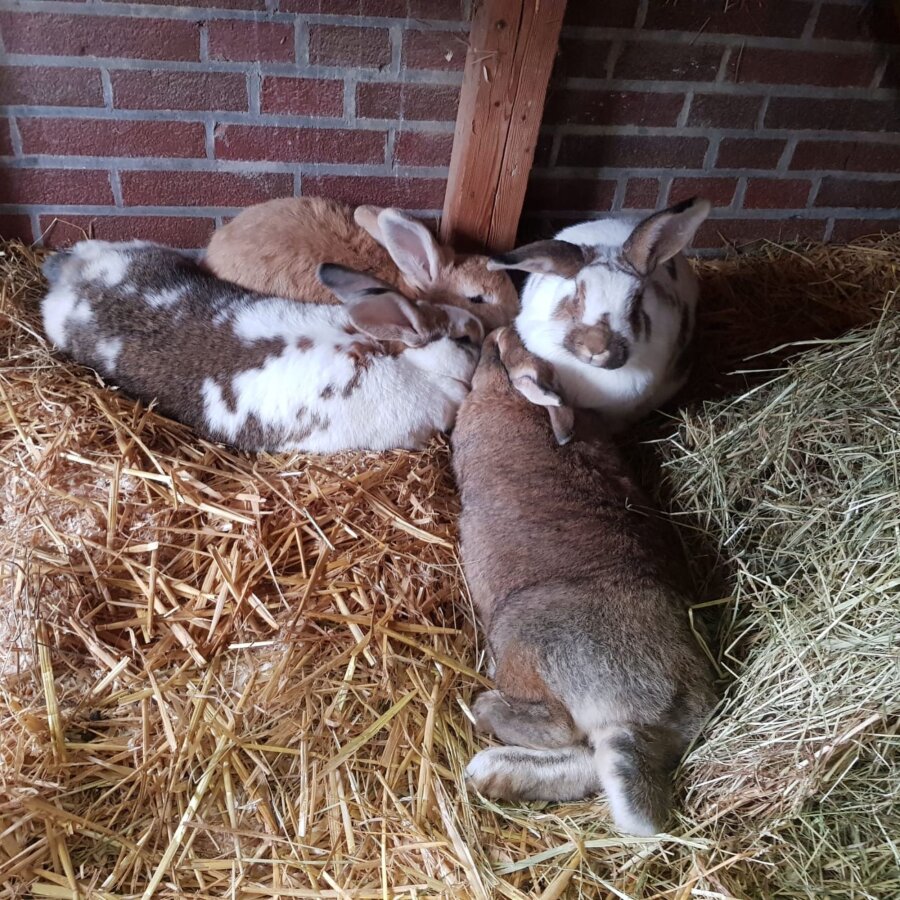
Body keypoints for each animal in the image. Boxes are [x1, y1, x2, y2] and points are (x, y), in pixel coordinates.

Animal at [451, 326, 716, 836]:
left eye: (500, 351)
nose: (493, 333)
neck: (516, 399)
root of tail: (641, 716)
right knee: (587, 762)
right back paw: (494, 773)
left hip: (519, 635)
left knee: (558, 728)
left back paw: (486, 713)